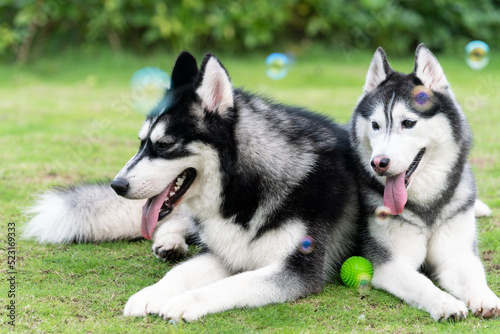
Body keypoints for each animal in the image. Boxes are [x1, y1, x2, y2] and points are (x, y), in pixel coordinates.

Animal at [24, 52, 360, 320]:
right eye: (141, 142)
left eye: (164, 145)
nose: (116, 185)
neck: (243, 194)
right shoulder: (224, 252)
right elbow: (180, 272)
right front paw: (151, 293)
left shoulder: (296, 270)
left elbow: (233, 283)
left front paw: (185, 301)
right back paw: (170, 242)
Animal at [352, 43, 500, 320]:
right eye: (376, 125)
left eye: (408, 123)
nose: (378, 163)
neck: (427, 205)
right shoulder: (391, 264)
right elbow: (422, 283)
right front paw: (446, 303)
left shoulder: (457, 255)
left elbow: (475, 277)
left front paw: (486, 298)